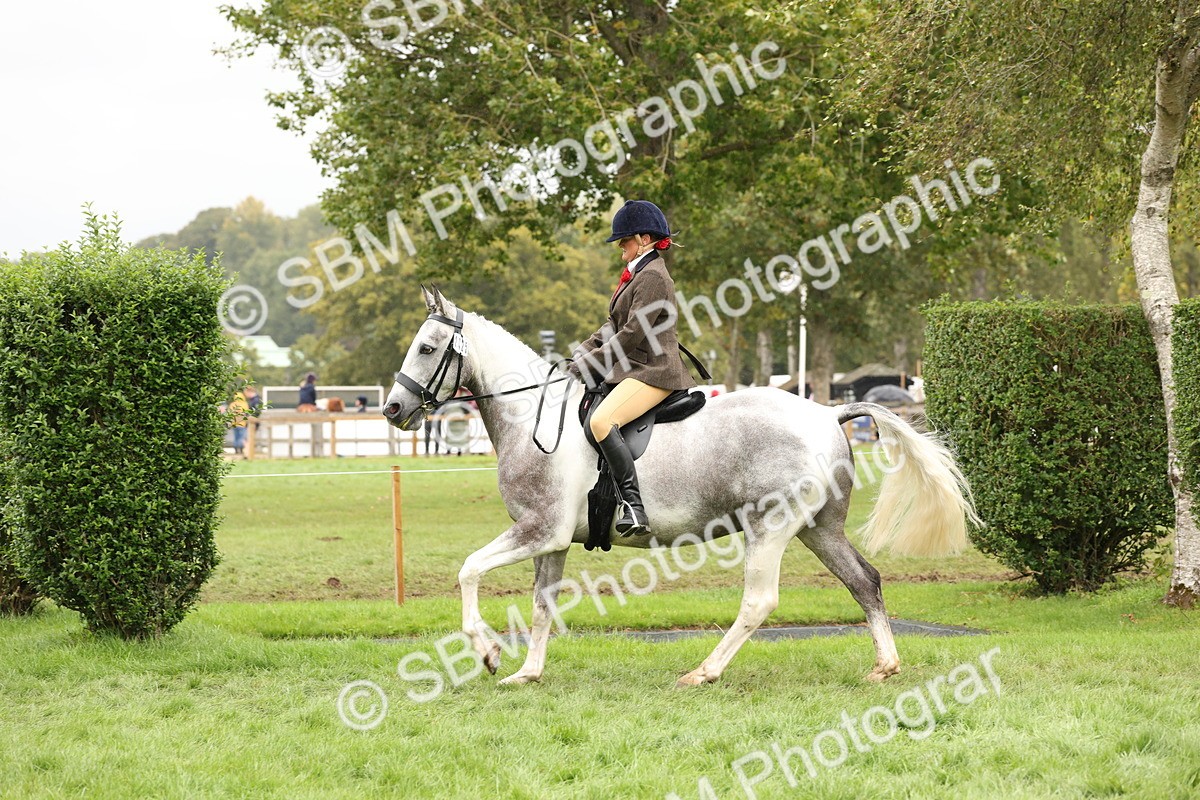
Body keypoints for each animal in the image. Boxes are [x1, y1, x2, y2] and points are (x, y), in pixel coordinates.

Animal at [383, 286, 980, 687]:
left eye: (428, 349)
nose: (392, 409)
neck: (533, 411)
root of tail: (828, 413)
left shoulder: (536, 530)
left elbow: (468, 571)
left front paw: (487, 653)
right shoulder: (551, 539)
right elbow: (540, 604)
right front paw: (526, 673)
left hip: (770, 527)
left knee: (759, 601)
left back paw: (703, 672)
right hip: (819, 529)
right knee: (864, 581)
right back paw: (885, 665)